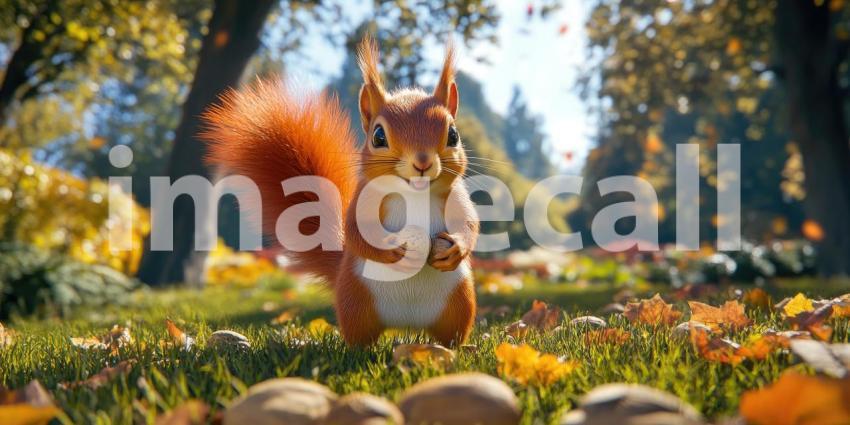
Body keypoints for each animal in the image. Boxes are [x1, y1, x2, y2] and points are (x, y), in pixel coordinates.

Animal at [202, 37, 479, 347]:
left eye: (453, 135)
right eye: (378, 136)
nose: (422, 162)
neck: (414, 194)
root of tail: (406, 324)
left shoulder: (456, 196)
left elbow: (469, 224)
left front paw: (455, 247)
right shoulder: (364, 199)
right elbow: (356, 231)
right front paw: (390, 249)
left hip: (459, 303)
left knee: (451, 335)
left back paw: (454, 347)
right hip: (355, 302)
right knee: (360, 336)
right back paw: (360, 349)